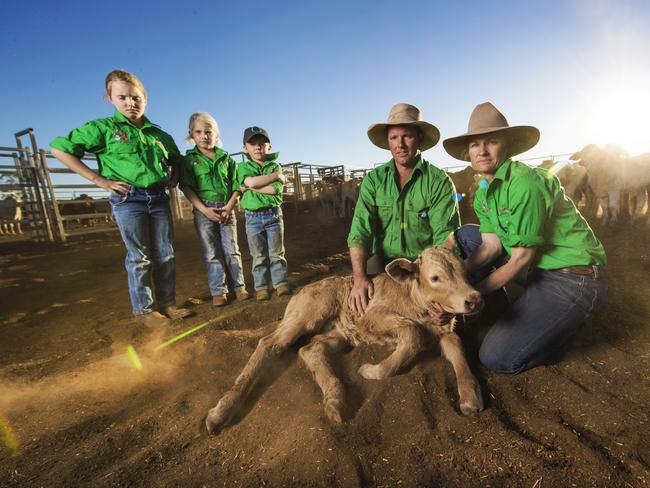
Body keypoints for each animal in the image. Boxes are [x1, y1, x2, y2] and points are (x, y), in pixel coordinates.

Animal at [205, 246, 484, 432]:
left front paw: (470, 398)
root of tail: (299, 293)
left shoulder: (444, 332)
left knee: (310, 350)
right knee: (269, 344)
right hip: (308, 313)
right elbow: (411, 333)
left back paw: (335, 399)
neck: (416, 301)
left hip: (339, 334)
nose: (474, 299)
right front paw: (372, 370)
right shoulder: (371, 316)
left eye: (465, 271)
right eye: (435, 277)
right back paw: (221, 412)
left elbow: (457, 349)